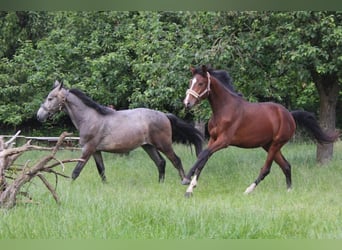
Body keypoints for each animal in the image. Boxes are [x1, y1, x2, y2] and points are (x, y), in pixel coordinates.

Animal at [37, 81, 203, 183]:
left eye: (50, 98)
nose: (39, 116)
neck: (89, 118)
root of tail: (164, 115)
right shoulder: (96, 151)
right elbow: (102, 171)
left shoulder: (88, 150)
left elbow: (76, 172)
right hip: (148, 146)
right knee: (161, 163)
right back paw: (160, 184)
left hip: (164, 145)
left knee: (176, 161)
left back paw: (183, 181)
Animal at [183, 65, 338, 197]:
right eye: (190, 81)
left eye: (201, 83)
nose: (187, 103)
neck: (224, 109)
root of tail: (289, 115)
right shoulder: (213, 139)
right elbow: (203, 158)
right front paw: (190, 189)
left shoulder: (224, 141)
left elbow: (203, 154)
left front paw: (186, 179)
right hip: (268, 145)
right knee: (286, 165)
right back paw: (289, 191)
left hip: (276, 144)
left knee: (266, 169)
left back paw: (248, 190)